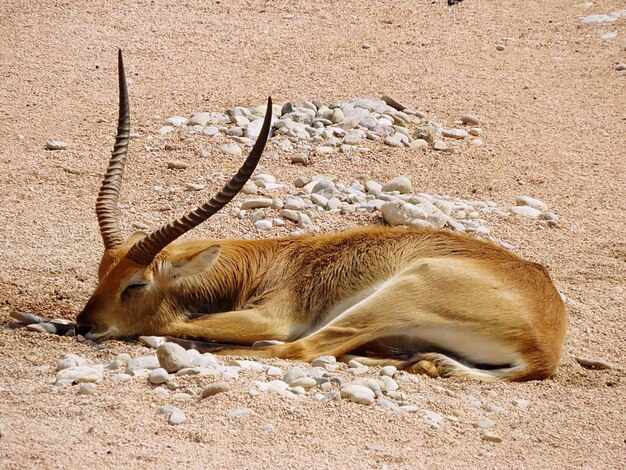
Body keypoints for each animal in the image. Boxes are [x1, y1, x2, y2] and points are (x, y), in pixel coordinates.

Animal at [75, 51, 568, 382]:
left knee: (299, 348)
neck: (265, 263)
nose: (85, 325)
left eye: (135, 284)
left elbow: (169, 323)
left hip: (398, 293)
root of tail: (543, 347)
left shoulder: (272, 317)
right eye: (101, 273)